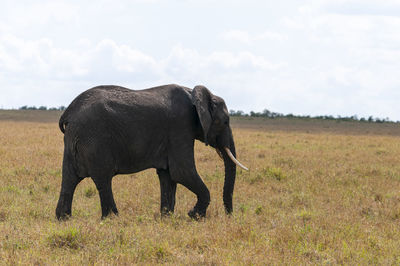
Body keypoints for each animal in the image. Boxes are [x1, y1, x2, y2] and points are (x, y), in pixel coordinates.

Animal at [55, 84, 247, 219]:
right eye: (225, 122)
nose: (229, 215)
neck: (194, 93)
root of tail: (68, 112)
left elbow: (168, 175)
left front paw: (167, 218)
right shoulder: (180, 127)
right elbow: (182, 172)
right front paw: (194, 216)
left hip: (74, 139)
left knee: (69, 179)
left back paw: (64, 219)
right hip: (94, 139)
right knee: (103, 178)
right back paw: (113, 219)